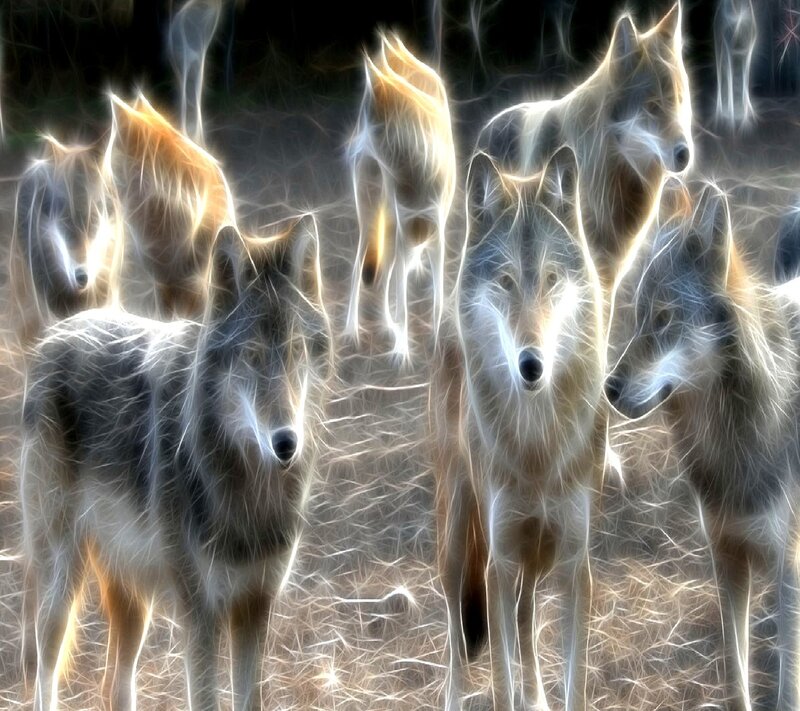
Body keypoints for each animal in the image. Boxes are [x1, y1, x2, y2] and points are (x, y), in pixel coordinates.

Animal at [21, 216, 332, 711]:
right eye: (252, 356)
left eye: (297, 352)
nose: (286, 443)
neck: (247, 488)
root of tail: (57, 331)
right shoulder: (200, 615)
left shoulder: (255, 606)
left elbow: (249, 699)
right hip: (60, 583)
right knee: (45, 676)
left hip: (133, 601)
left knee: (113, 686)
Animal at [344, 31, 456, 357]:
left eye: (364, 123)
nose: (350, 151)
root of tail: (396, 53)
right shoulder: (404, 229)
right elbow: (400, 298)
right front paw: (402, 350)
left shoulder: (434, 232)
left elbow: (435, 299)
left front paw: (435, 343)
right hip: (374, 215)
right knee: (365, 268)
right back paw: (356, 330)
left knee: (389, 274)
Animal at [433, 147, 605, 711]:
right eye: (506, 281)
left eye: (550, 279)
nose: (532, 365)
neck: (537, 448)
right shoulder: (499, 566)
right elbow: (500, 681)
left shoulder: (574, 564)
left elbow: (574, 683)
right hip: (458, 535)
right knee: (455, 626)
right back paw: (453, 695)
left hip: (540, 557)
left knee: (527, 616)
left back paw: (538, 697)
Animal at [605, 179, 800, 711]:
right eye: (638, 318)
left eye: (665, 319)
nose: (609, 388)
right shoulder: (726, 555)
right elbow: (736, 678)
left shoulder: (789, 568)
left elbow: (787, 688)